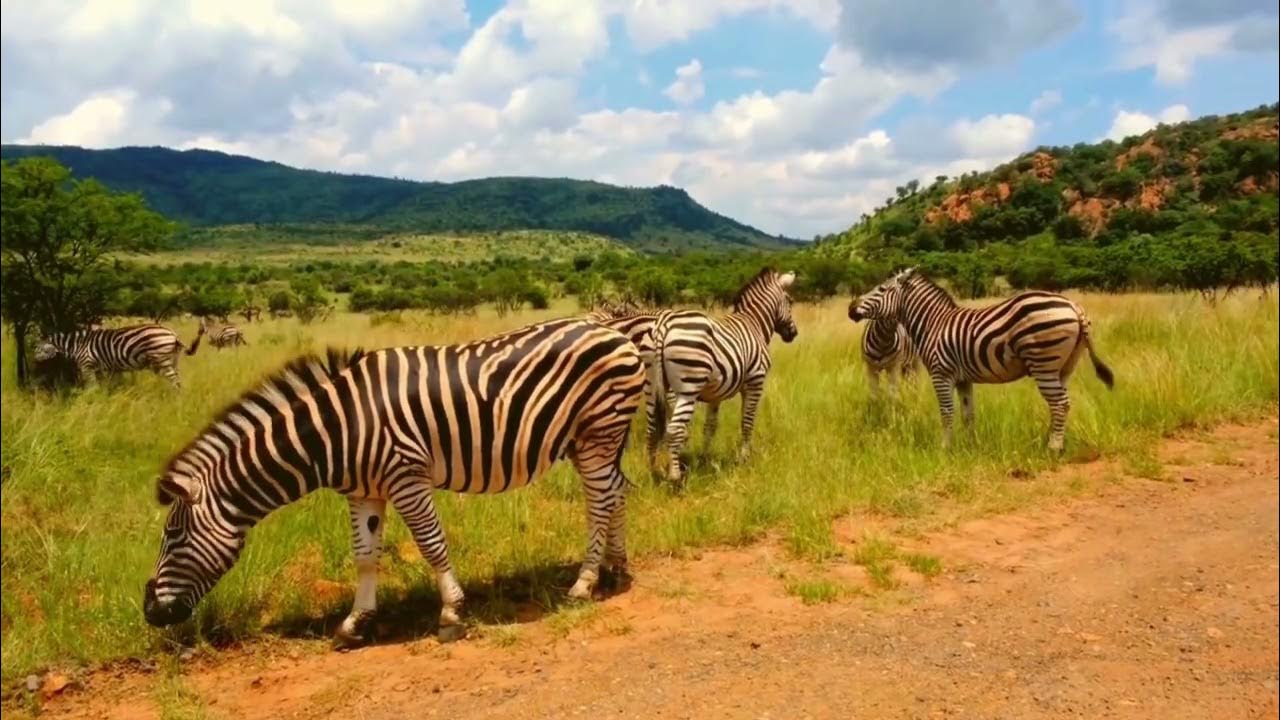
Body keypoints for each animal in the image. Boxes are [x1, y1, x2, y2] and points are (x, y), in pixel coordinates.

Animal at [33, 323, 202, 388]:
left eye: (39, 349)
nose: (34, 362)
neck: (77, 345)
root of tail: (172, 334)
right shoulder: (105, 368)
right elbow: (107, 385)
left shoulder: (87, 366)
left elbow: (91, 387)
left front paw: (92, 402)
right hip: (173, 359)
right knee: (178, 380)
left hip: (162, 359)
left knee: (175, 382)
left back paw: (176, 401)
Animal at [142, 317, 647, 647]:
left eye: (173, 534)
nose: (150, 612)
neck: (337, 429)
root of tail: (615, 331)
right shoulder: (363, 492)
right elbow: (365, 557)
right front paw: (355, 623)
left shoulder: (407, 476)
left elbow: (431, 544)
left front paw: (451, 613)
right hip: (593, 439)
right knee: (616, 491)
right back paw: (616, 568)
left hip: (598, 430)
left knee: (600, 500)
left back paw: (584, 583)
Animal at [645, 267, 797, 486]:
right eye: (790, 301)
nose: (793, 334)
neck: (755, 323)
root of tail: (663, 327)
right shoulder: (755, 382)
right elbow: (747, 421)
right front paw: (743, 458)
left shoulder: (714, 394)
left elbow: (710, 427)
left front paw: (704, 459)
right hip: (686, 389)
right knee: (674, 429)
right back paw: (675, 476)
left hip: (652, 389)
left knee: (653, 430)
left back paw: (654, 472)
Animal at [848, 267, 1114, 452]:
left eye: (881, 290)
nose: (851, 308)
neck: (933, 324)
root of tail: (1074, 306)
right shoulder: (963, 379)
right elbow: (968, 414)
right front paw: (970, 446)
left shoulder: (941, 374)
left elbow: (947, 412)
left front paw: (945, 448)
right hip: (1064, 367)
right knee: (1061, 404)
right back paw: (1054, 440)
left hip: (1044, 363)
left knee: (1060, 404)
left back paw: (1053, 448)